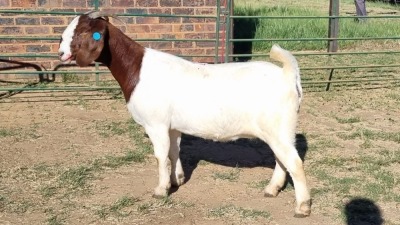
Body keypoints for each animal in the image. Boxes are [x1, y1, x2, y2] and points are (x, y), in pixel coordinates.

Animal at [57, 11, 310, 218]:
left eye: (82, 31)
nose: (60, 52)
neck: (137, 69)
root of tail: (287, 75)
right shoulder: (173, 126)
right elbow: (173, 151)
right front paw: (176, 180)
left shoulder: (156, 123)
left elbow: (160, 156)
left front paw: (160, 190)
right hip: (279, 130)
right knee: (282, 159)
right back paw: (271, 190)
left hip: (277, 127)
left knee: (294, 162)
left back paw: (302, 207)